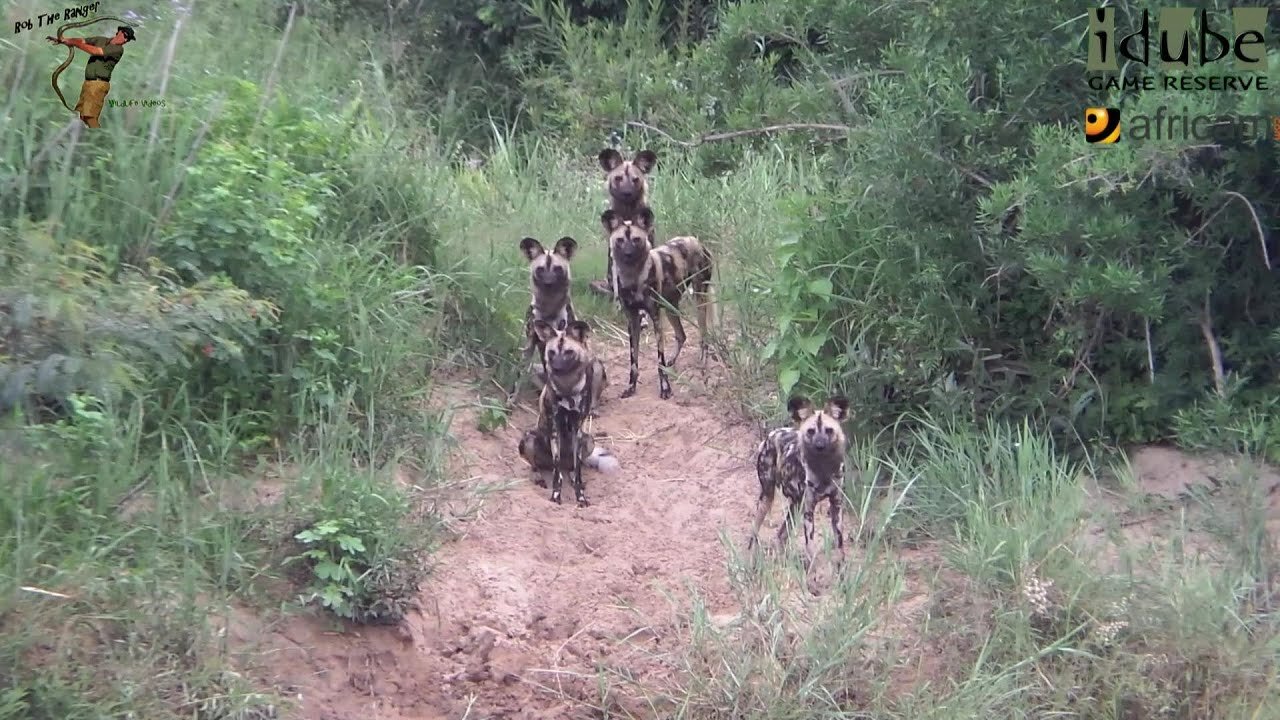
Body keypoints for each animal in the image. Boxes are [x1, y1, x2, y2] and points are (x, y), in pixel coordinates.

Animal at [529, 316, 609, 502]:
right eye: (551, 352)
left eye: (568, 352)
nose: (556, 368)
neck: (567, 387)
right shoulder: (555, 430)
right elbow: (556, 471)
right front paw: (556, 495)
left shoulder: (577, 431)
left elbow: (578, 467)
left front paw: (580, 497)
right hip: (528, 439)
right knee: (539, 466)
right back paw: (539, 477)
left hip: (588, 441)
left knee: (573, 466)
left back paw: (572, 476)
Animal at [601, 204, 716, 399]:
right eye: (620, 240)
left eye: (636, 239)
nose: (628, 254)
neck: (633, 278)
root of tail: (695, 240)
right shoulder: (633, 320)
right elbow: (633, 361)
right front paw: (631, 387)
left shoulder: (655, 318)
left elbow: (659, 360)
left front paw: (665, 388)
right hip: (671, 307)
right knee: (681, 335)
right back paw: (673, 361)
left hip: (699, 299)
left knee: (703, 335)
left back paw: (702, 363)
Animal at [747, 394, 855, 568]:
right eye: (811, 431)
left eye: (829, 430)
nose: (819, 445)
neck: (823, 469)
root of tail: (772, 434)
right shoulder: (809, 511)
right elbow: (810, 549)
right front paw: (811, 574)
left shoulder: (836, 506)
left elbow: (840, 546)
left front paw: (841, 572)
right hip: (767, 498)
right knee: (754, 532)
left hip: (795, 506)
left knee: (781, 535)